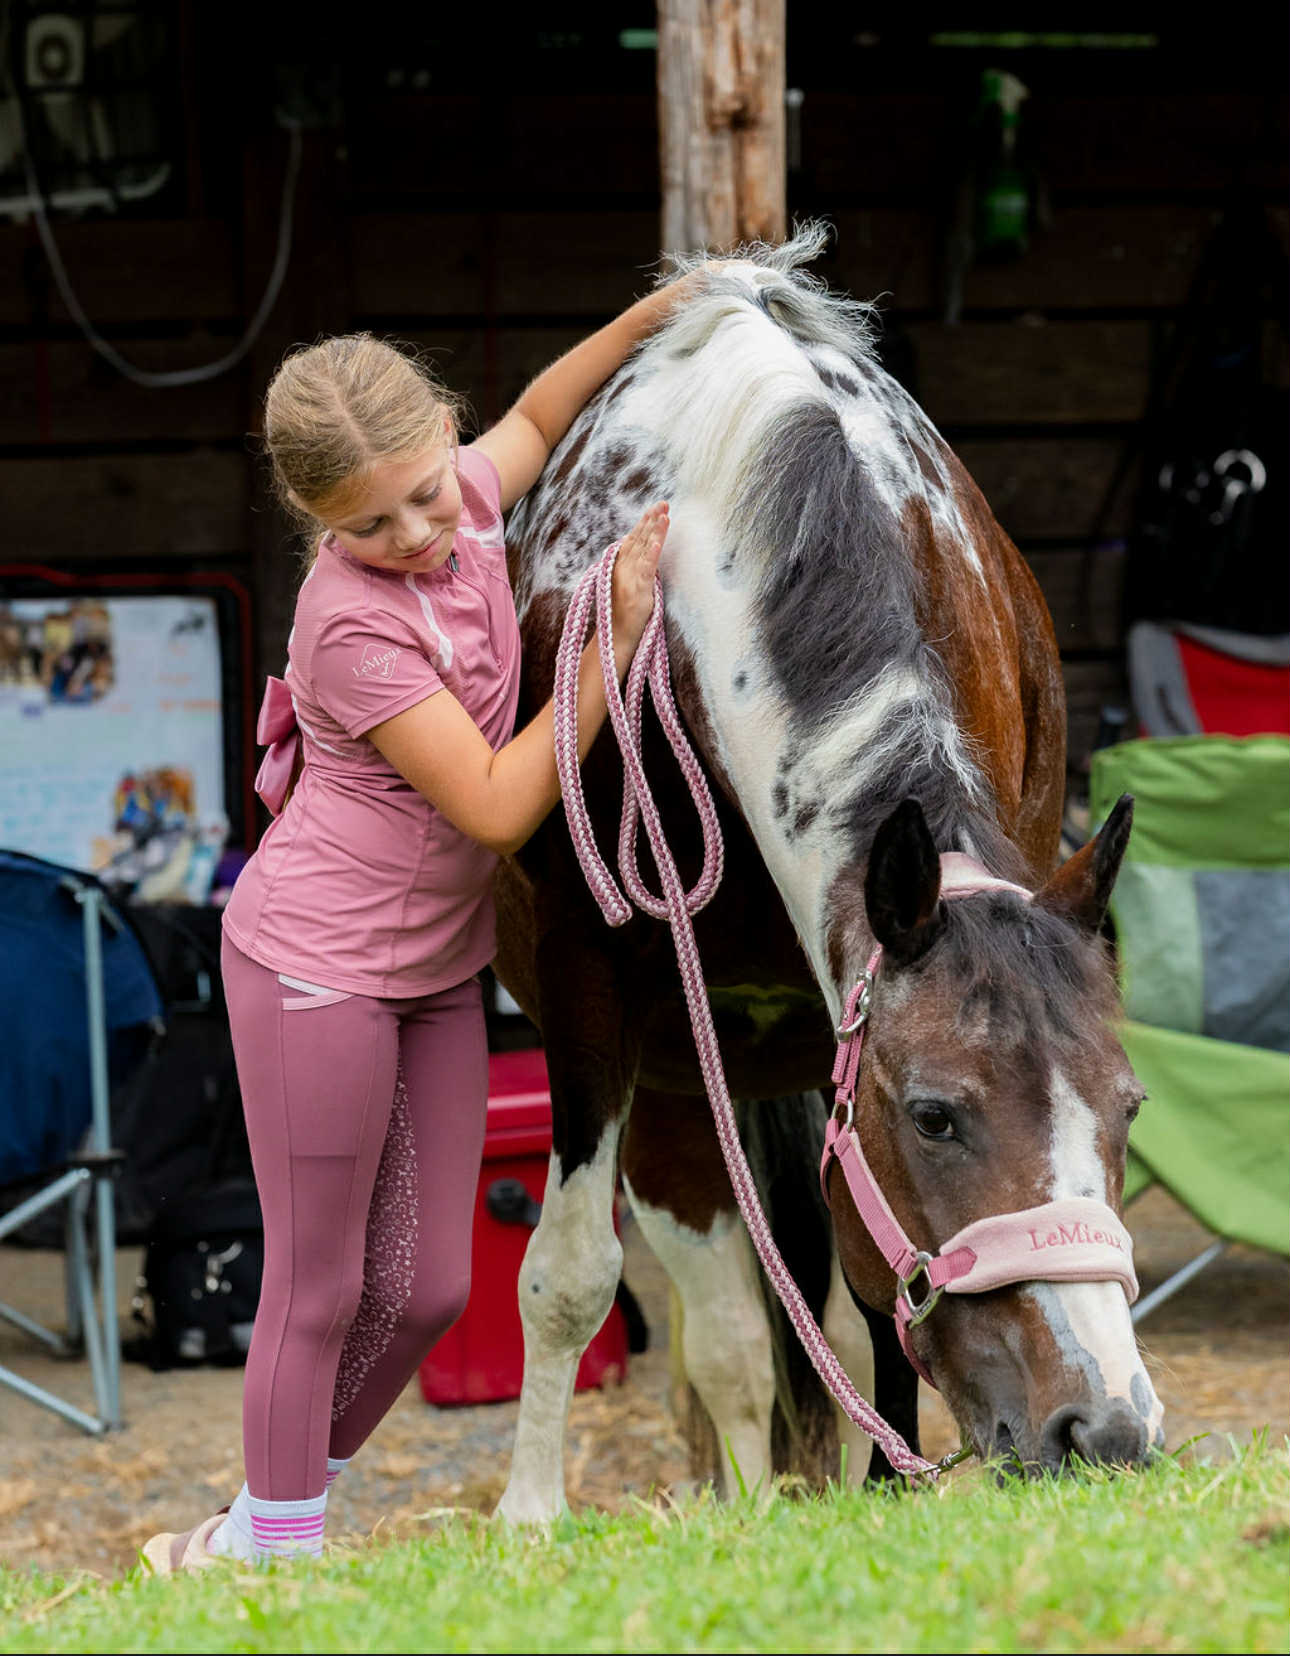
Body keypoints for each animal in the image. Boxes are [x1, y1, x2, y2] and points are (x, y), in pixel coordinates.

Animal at [489, 227, 1163, 1522]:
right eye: (938, 1116)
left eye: (1129, 1108)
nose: (1103, 1427)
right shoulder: (594, 982)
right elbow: (569, 1274)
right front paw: (531, 1517)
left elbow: (864, 1303)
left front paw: (889, 1492)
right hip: (678, 1085)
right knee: (724, 1333)